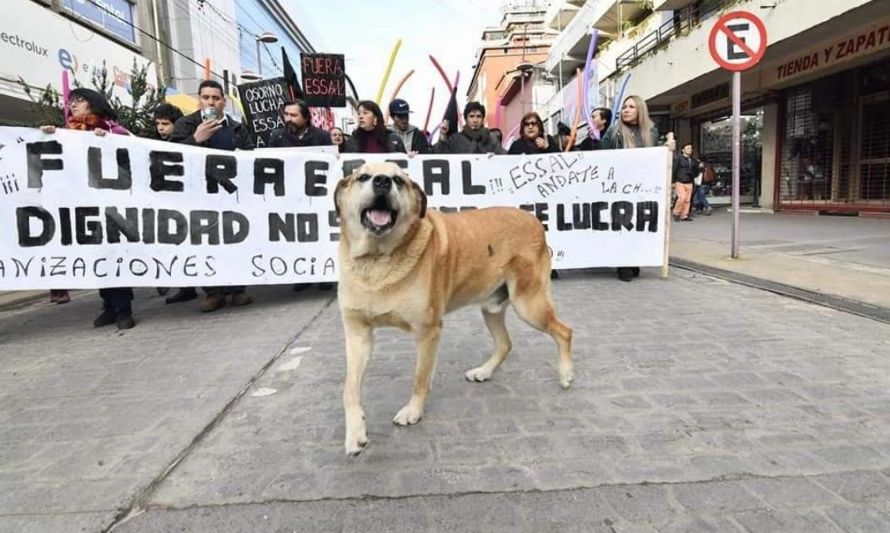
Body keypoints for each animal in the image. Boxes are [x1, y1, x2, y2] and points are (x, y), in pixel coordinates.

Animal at [334, 160, 576, 456]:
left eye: (399, 181)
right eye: (363, 177)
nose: (382, 181)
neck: (377, 260)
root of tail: (533, 219)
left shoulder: (428, 332)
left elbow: (420, 378)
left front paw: (413, 412)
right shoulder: (358, 334)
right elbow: (349, 389)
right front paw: (355, 433)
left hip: (529, 305)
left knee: (564, 331)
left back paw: (566, 374)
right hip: (492, 308)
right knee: (505, 343)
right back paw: (484, 372)